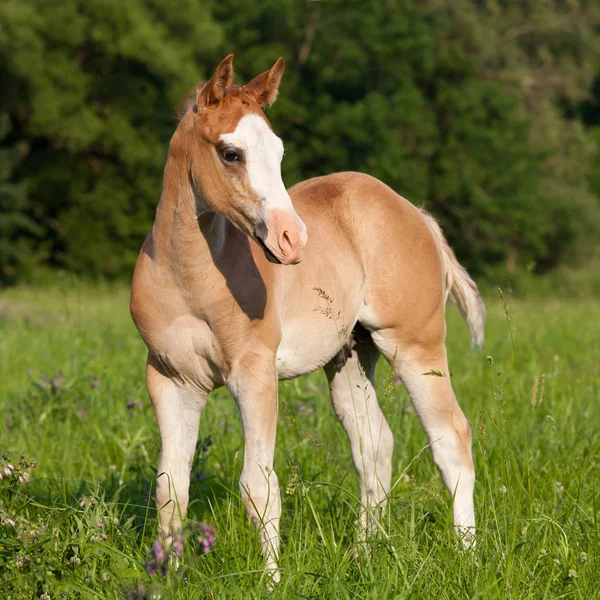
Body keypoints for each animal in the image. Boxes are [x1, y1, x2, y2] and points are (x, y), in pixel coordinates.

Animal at [130, 54, 482, 580]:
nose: (292, 239)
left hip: (415, 346)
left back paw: (467, 556)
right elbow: (170, 487)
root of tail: (416, 214)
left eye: (278, 152)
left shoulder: (254, 376)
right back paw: (364, 555)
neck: (187, 280)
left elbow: (259, 487)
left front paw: (271, 580)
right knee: (374, 446)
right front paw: (166, 576)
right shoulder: (172, 380)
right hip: (351, 355)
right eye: (231, 153)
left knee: (450, 439)